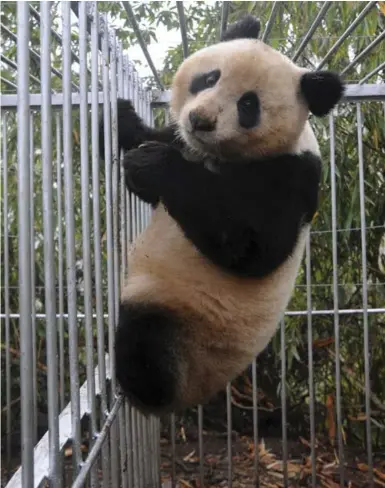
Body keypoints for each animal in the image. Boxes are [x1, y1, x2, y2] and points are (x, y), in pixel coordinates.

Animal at [100, 15, 344, 414]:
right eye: (210, 77)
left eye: (248, 104)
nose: (200, 120)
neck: (219, 155)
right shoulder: (183, 138)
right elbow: (153, 144)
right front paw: (121, 119)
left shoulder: (292, 176)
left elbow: (250, 249)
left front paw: (153, 164)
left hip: (187, 320)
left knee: (147, 344)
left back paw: (139, 389)